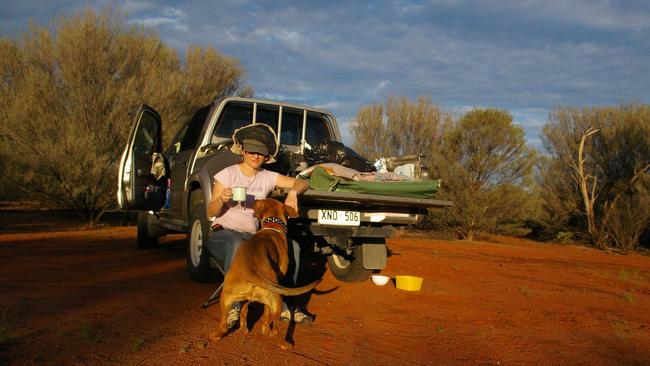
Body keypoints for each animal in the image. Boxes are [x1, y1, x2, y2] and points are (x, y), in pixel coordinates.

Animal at [210, 197, 318, 348]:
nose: (253, 201)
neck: (272, 226)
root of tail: (251, 270)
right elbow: (266, 314)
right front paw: (265, 328)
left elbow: (245, 312)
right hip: (276, 299)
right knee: (275, 329)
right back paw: (283, 342)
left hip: (227, 298)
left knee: (226, 324)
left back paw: (225, 334)